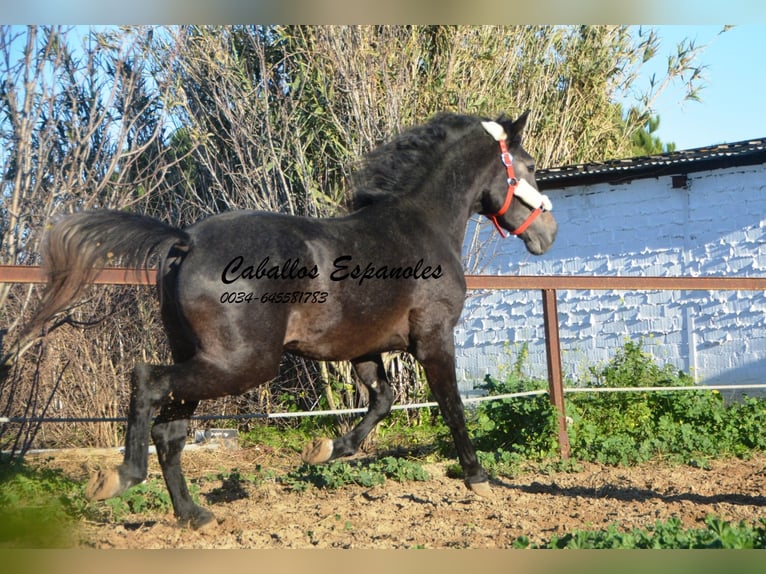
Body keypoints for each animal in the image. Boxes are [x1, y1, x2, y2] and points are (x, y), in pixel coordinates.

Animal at [24, 112, 560, 532]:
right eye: (531, 167)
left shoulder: (364, 348)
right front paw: (477, 477)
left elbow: (382, 401)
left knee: (170, 431)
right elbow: (451, 405)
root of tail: (186, 240)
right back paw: (119, 477)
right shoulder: (433, 338)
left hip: (203, 357)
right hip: (243, 362)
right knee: (147, 381)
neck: (419, 227)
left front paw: (326, 449)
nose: (549, 234)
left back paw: (194, 515)